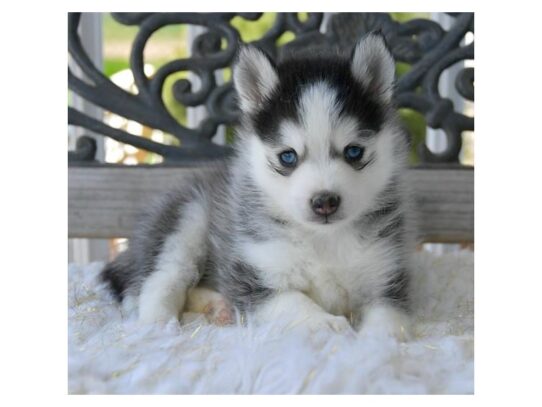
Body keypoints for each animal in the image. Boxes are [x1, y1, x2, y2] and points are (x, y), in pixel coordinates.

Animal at [102, 31, 416, 340]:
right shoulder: (254, 274)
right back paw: (157, 325)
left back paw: (218, 308)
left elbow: (389, 323)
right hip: (185, 224)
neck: (322, 240)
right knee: (160, 279)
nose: (324, 201)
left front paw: (376, 343)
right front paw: (327, 323)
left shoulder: (387, 276)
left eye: (354, 152)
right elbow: (293, 301)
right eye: (287, 156)